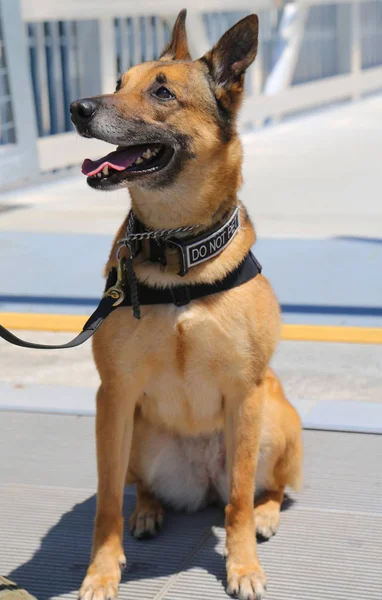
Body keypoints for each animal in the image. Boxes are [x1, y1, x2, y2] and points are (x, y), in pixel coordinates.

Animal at [68, 9, 302, 600]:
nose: (78, 107)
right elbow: (106, 501)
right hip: (136, 433)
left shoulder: (245, 392)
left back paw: (265, 515)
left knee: (259, 488)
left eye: (162, 92)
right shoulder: (114, 395)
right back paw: (148, 511)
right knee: (139, 486)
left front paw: (242, 566)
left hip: (272, 421)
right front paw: (102, 570)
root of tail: (201, 484)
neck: (176, 250)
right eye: (119, 81)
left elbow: (239, 500)